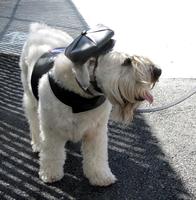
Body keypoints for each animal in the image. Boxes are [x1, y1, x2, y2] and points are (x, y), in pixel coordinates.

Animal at [19, 23, 162, 186]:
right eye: (127, 61)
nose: (158, 71)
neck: (80, 97)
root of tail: (40, 28)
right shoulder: (51, 131)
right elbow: (52, 154)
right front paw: (50, 174)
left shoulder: (96, 132)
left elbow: (96, 157)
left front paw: (100, 176)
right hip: (30, 100)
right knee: (34, 123)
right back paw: (37, 144)